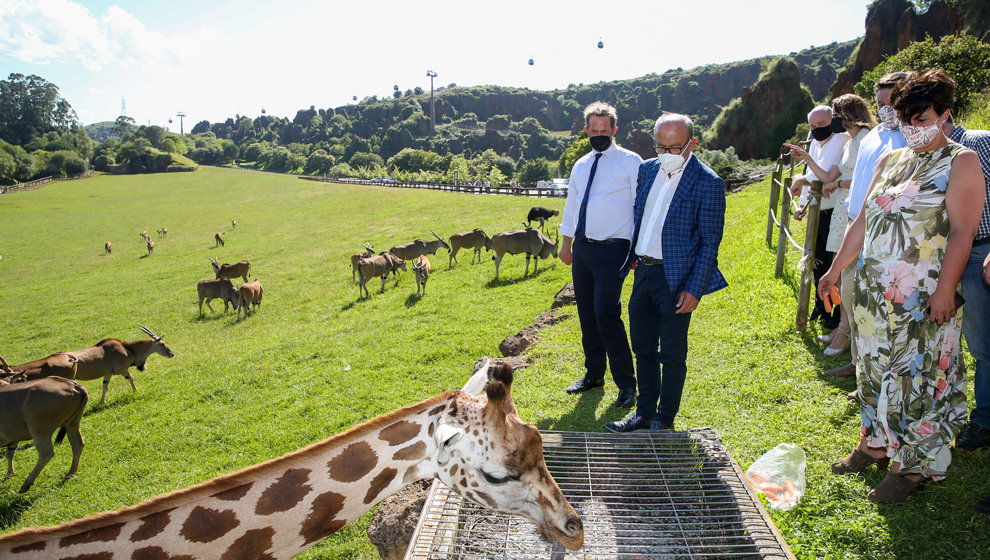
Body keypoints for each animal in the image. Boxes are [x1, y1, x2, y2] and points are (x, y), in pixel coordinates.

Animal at [0, 356, 87, 492]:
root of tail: (76, 387)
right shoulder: (12, 438)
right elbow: (10, 454)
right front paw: (10, 474)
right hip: (73, 423)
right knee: (78, 445)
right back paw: (70, 473)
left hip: (40, 431)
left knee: (46, 453)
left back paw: (26, 484)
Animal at [10, 326, 176, 404]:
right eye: (162, 344)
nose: (171, 354)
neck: (127, 349)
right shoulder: (123, 370)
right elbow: (131, 379)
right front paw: (136, 392)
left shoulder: (107, 374)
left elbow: (105, 386)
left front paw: (102, 402)